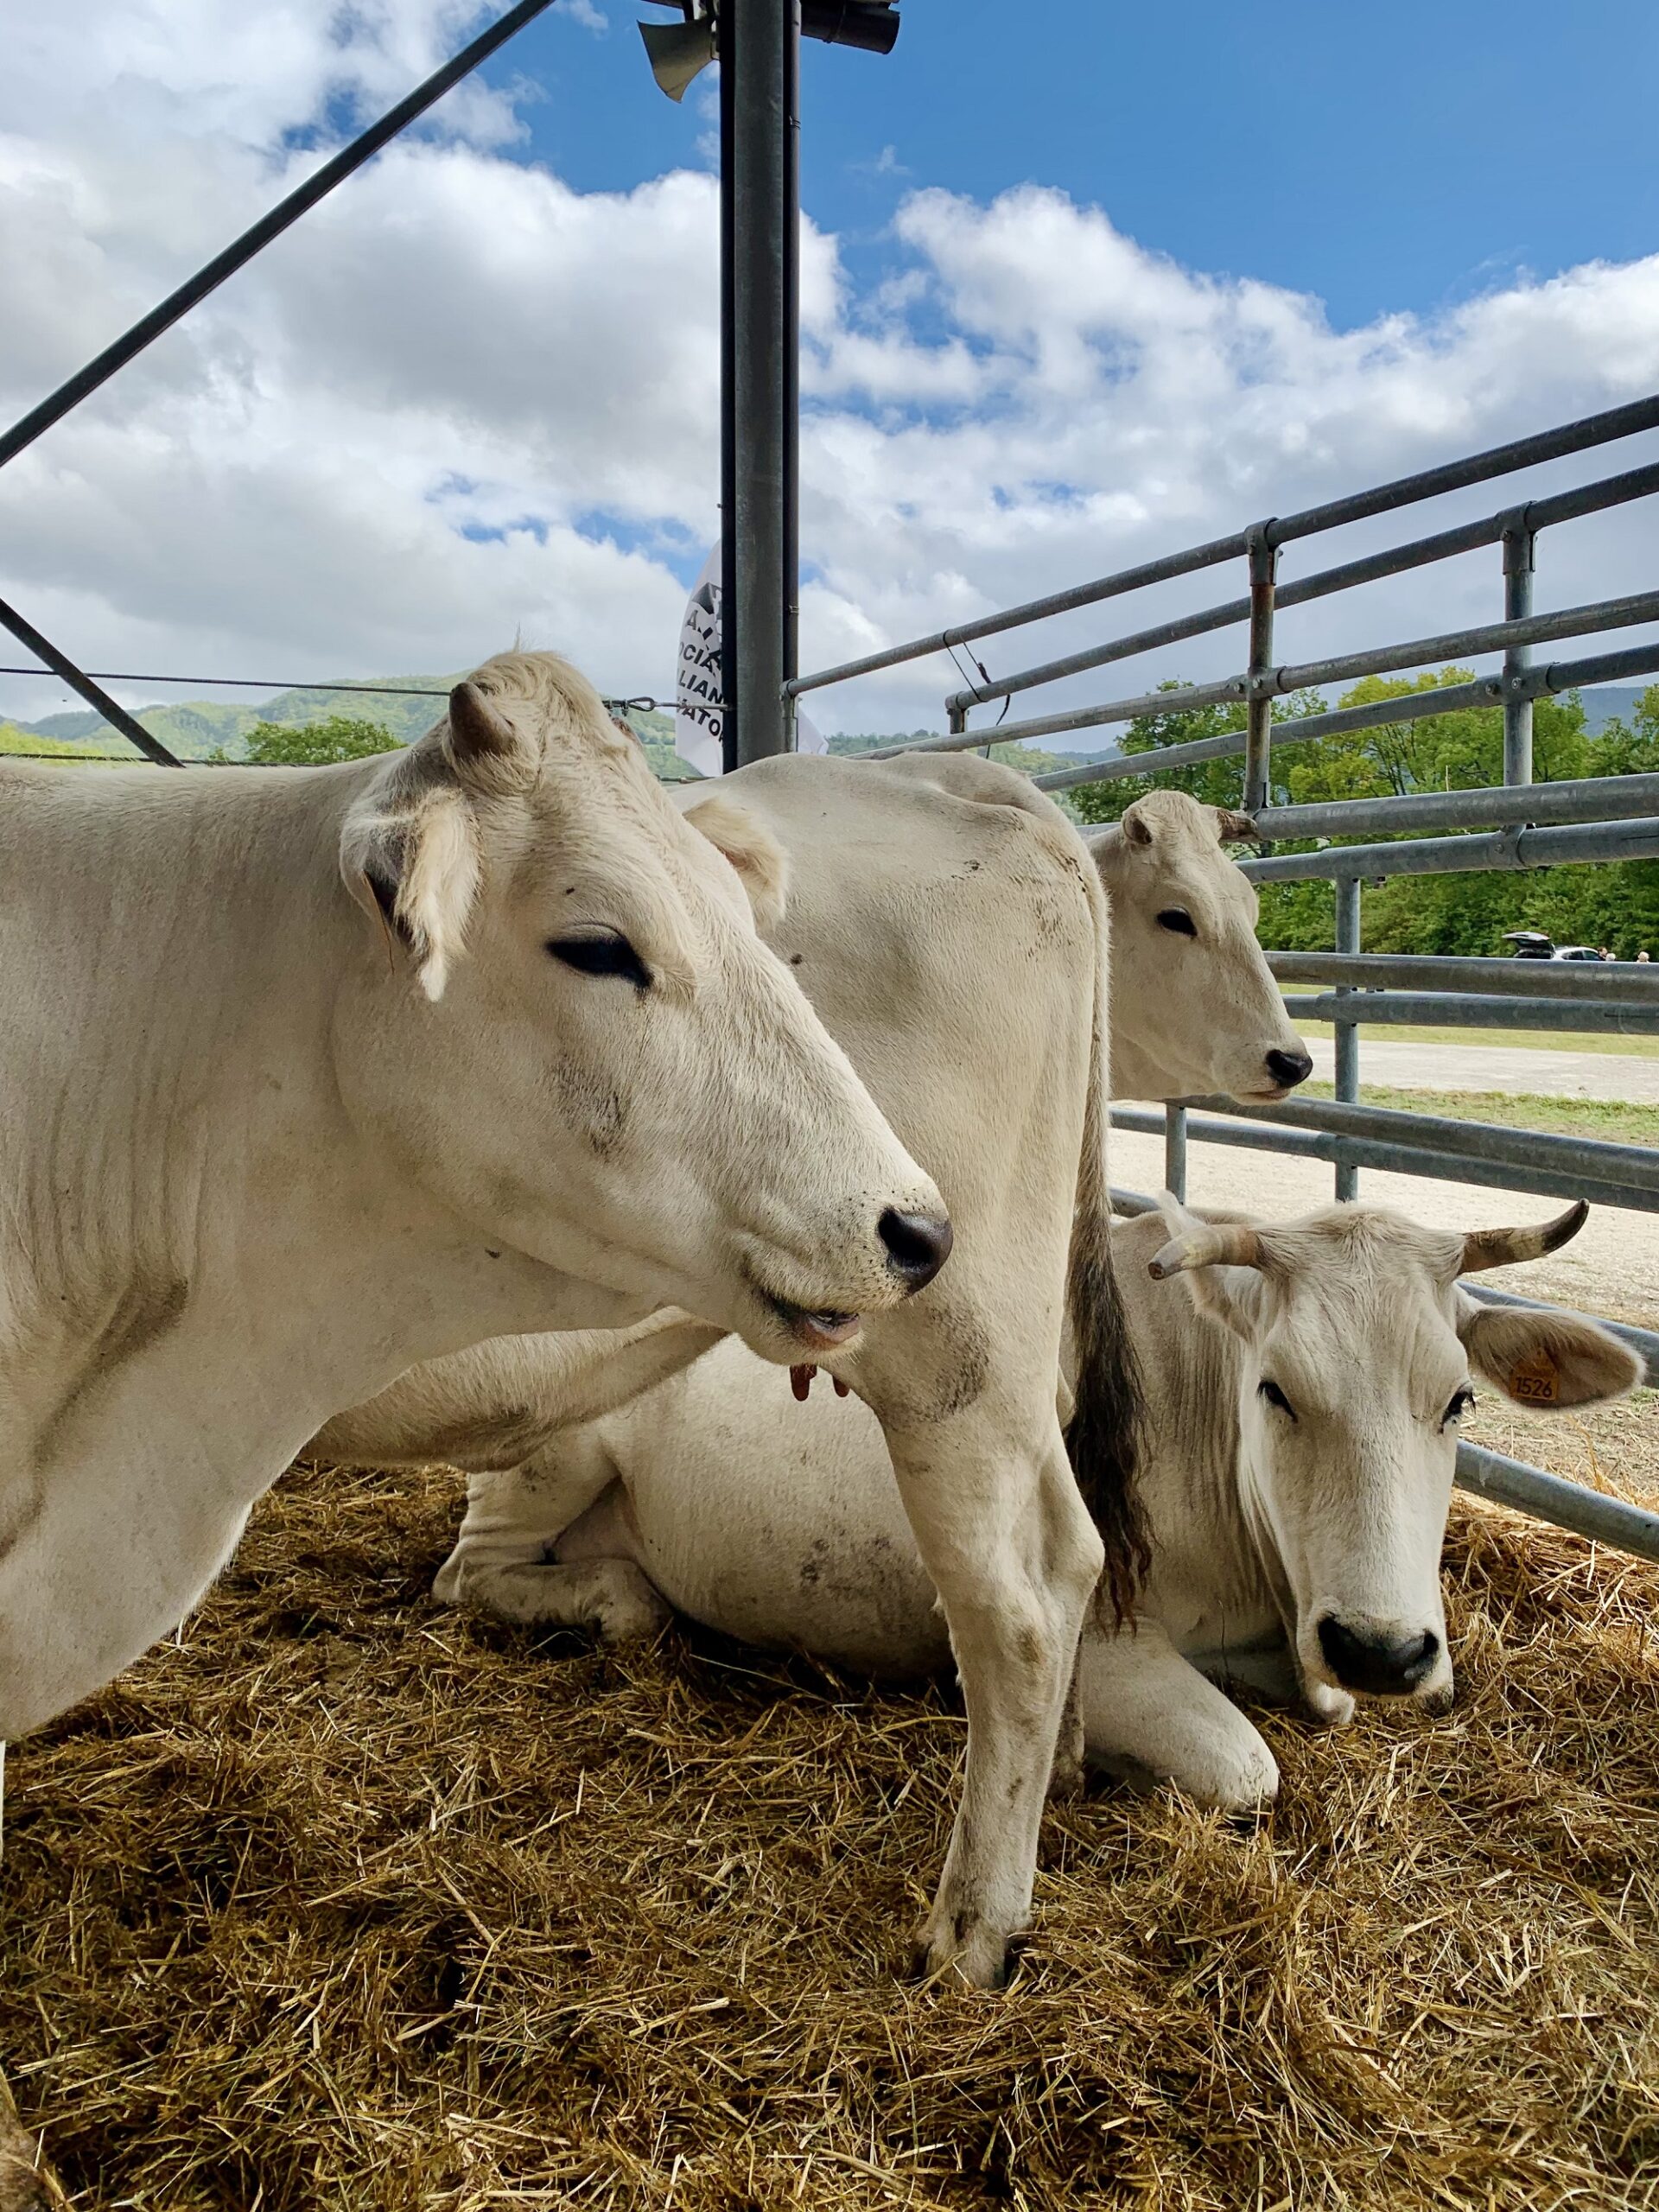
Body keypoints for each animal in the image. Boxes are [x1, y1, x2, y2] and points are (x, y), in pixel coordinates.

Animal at [305, 769, 1309, 1981]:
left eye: (1249, 909)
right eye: (1180, 916)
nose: (1294, 1058)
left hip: (949, 1355)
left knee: (1021, 1598)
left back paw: (971, 1930)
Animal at [437, 1211, 1637, 1814]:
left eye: (1459, 1399)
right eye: (1278, 1389)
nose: (1383, 1648)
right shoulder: (1100, 1636)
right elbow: (1246, 1768)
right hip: (551, 1455)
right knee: (470, 1576)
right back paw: (613, 1595)